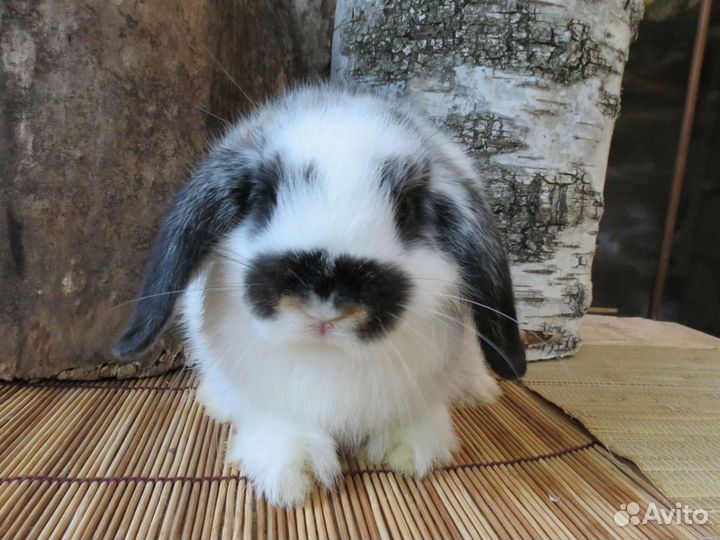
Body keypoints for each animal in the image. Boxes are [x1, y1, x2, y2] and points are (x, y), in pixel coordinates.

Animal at [113, 83, 526, 507]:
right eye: (263, 195)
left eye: (408, 207)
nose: (325, 305)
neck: (327, 358)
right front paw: (295, 470)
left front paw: (412, 448)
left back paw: (478, 390)